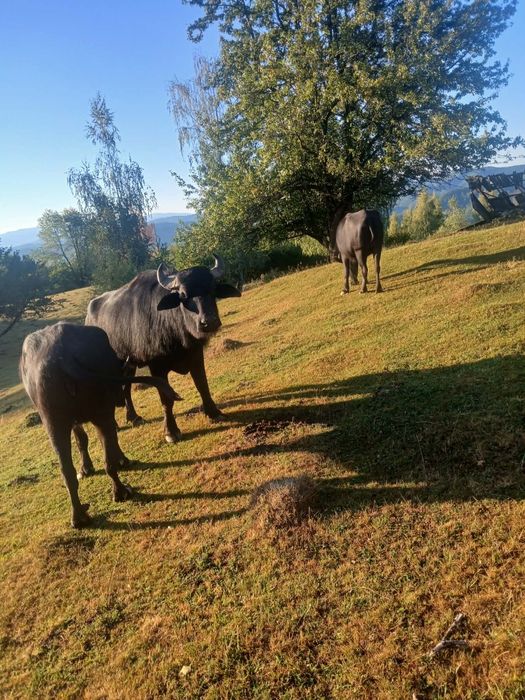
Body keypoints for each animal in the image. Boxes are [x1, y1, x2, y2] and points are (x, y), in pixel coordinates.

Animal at [19, 322, 180, 528]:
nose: (120, 400)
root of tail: (63, 358)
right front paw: (122, 460)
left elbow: (82, 439)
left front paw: (86, 468)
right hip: (99, 412)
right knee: (107, 457)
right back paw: (121, 492)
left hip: (53, 421)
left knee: (67, 470)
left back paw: (79, 517)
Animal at [85, 255, 241, 444]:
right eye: (183, 295)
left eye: (212, 289)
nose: (209, 322)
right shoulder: (156, 366)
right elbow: (166, 399)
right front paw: (171, 431)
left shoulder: (196, 355)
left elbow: (202, 385)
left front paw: (214, 412)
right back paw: (115, 424)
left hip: (129, 364)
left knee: (126, 388)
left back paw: (134, 417)